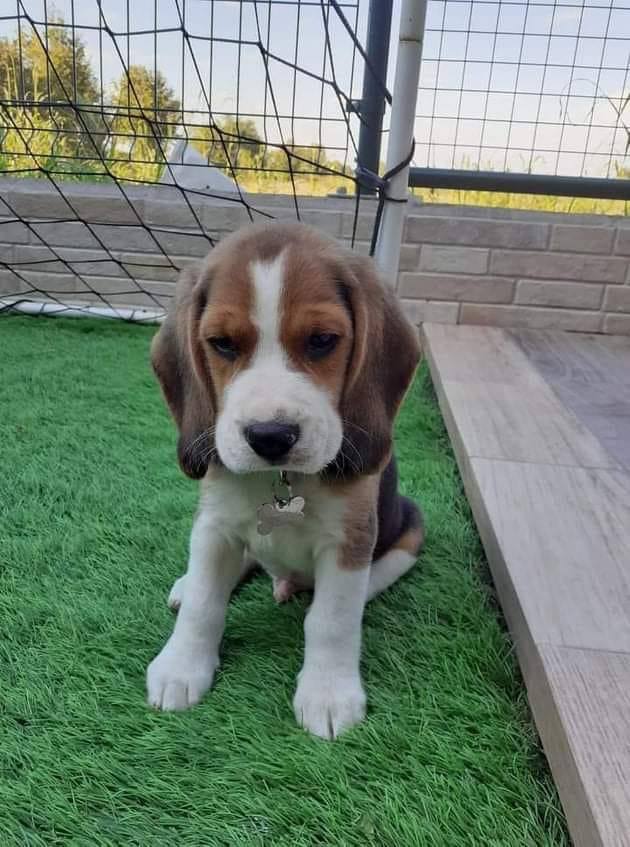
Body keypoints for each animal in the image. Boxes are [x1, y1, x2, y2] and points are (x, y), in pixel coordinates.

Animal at [148, 222, 424, 740]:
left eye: (322, 340)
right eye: (222, 343)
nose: (270, 436)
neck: (282, 479)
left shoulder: (351, 537)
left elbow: (332, 620)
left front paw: (328, 694)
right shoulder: (213, 525)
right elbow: (204, 603)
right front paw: (181, 666)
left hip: (412, 525)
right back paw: (187, 582)